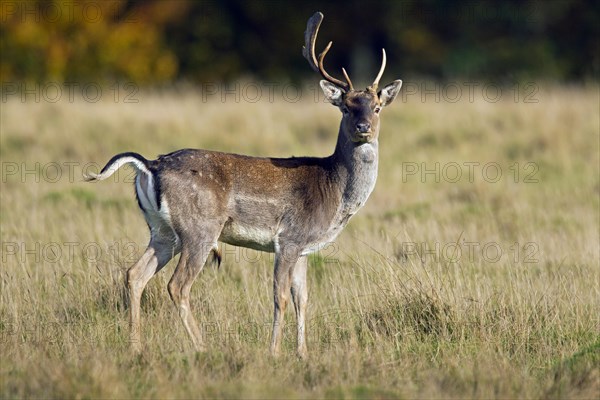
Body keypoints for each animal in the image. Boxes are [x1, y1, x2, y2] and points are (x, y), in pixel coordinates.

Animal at [84, 11, 404, 360]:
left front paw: (303, 354)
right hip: (199, 228)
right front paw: (274, 352)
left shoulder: (305, 248)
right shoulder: (289, 238)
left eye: (377, 107)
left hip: (162, 231)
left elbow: (303, 299)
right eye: (346, 107)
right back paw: (202, 346)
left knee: (134, 274)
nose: (363, 127)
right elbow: (280, 298)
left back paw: (136, 347)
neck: (334, 191)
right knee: (177, 285)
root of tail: (150, 166)